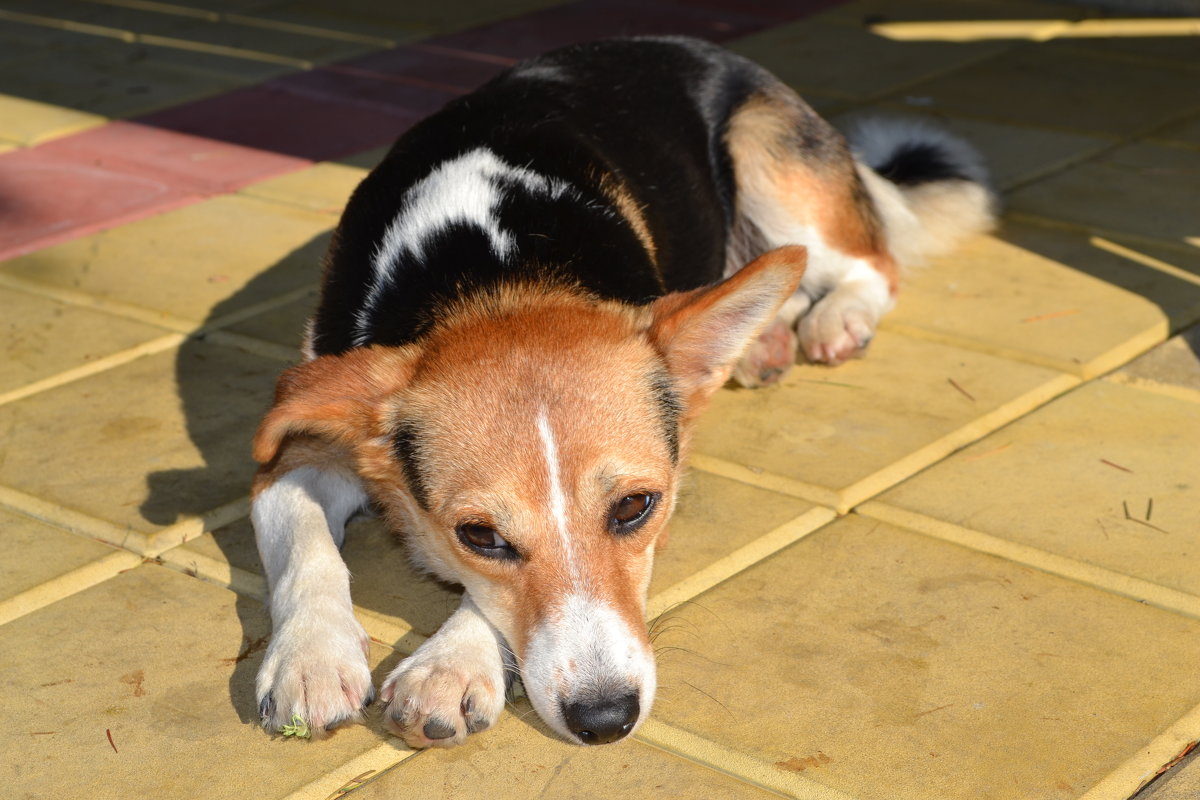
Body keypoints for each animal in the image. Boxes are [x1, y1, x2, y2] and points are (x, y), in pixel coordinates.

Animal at [246, 34, 993, 753]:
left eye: (636, 507)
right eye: (481, 535)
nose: (605, 719)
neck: (495, 278)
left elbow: (476, 606)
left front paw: (448, 665)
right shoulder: (294, 450)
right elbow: (303, 537)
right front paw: (310, 660)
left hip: (773, 161)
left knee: (875, 264)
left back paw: (836, 320)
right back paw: (765, 341)